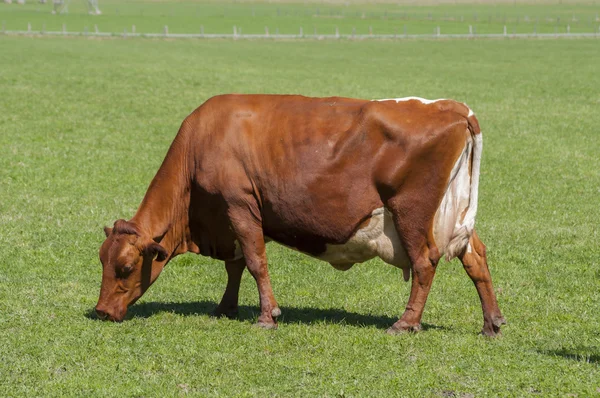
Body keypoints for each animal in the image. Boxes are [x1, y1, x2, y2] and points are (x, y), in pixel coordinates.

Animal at [95, 93, 506, 336]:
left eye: (126, 268)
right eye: (102, 261)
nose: (100, 311)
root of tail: (451, 106)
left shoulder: (240, 205)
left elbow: (255, 261)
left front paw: (267, 316)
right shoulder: (227, 219)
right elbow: (236, 265)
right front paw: (226, 308)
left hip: (412, 213)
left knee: (424, 263)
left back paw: (405, 323)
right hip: (453, 215)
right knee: (476, 257)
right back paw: (491, 322)